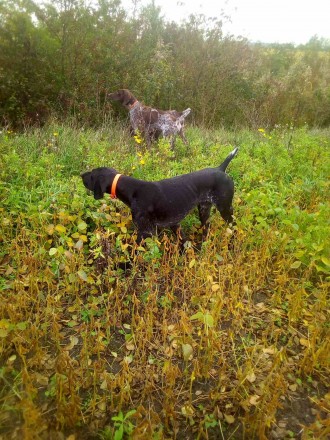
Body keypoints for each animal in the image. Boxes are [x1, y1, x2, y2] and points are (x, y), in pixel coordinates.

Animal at [81, 148, 238, 244]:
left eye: (92, 174)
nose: (81, 174)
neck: (132, 191)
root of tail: (220, 169)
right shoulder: (172, 224)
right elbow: (184, 242)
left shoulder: (145, 231)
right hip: (204, 209)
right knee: (207, 226)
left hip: (225, 209)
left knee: (234, 226)